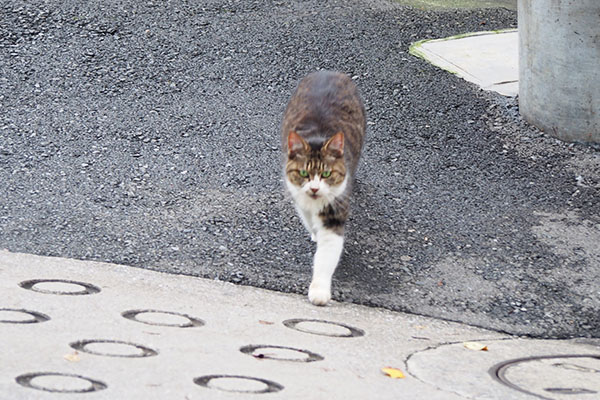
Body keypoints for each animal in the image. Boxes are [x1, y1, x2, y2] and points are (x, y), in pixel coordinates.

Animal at [282, 70, 366, 304]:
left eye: (327, 174)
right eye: (303, 173)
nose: (314, 189)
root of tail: (328, 71)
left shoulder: (336, 208)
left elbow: (327, 253)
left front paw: (319, 291)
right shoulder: (297, 195)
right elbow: (307, 218)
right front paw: (313, 231)